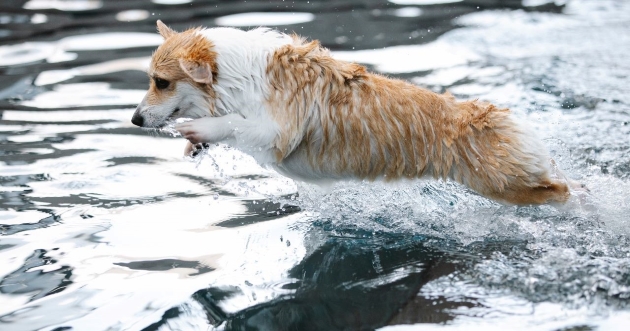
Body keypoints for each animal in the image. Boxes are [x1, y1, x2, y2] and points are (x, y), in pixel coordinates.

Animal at [133, 20, 584, 205]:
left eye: (162, 82)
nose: (134, 120)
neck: (234, 74)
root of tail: (495, 114)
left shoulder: (276, 132)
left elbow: (232, 124)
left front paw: (198, 128)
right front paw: (194, 144)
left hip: (505, 185)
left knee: (563, 192)